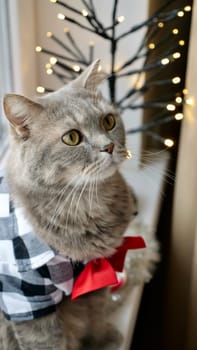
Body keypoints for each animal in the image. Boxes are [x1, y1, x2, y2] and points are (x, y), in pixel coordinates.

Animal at [0, 60, 134, 350]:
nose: (108, 146)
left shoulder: (96, 272)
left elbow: (97, 313)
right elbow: (48, 342)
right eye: (72, 138)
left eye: (108, 121)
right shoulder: (26, 302)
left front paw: (102, 340)